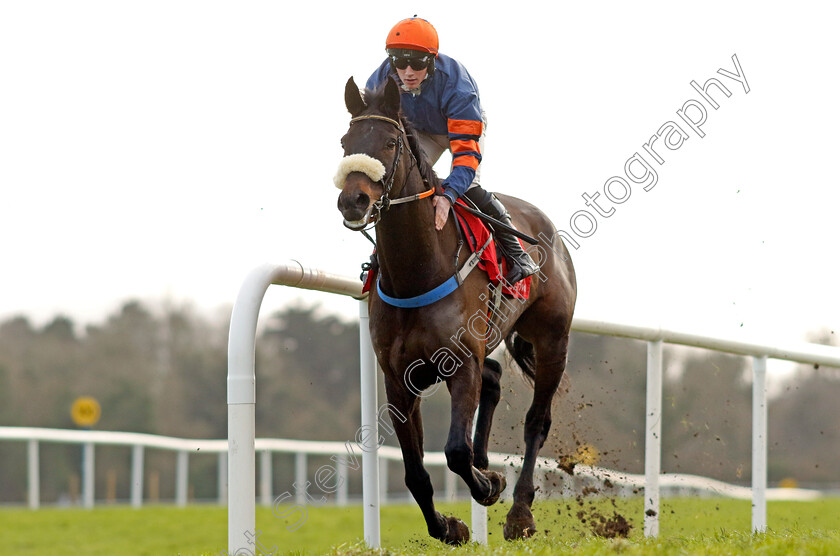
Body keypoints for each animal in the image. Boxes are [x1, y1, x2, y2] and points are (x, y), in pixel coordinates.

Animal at [334, 76, 576, 544]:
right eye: (344, 143)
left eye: (390, 142)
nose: (353, 200)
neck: (417, 273)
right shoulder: (399, 379)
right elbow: (415, 472)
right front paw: (449, 526)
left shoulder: (462, 362)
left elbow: (455, 451)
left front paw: (490, 485)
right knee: (494, 378)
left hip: (552, 339)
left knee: (537, 421)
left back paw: (520, 513)